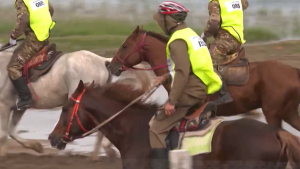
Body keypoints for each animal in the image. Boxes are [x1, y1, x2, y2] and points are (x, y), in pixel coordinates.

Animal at [0, 41, 159, 158]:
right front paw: (37, 147)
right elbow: (11, 131)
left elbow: (4, 134)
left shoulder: (5, 106)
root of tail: (102, 61)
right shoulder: (19, 108)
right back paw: (98, 154)